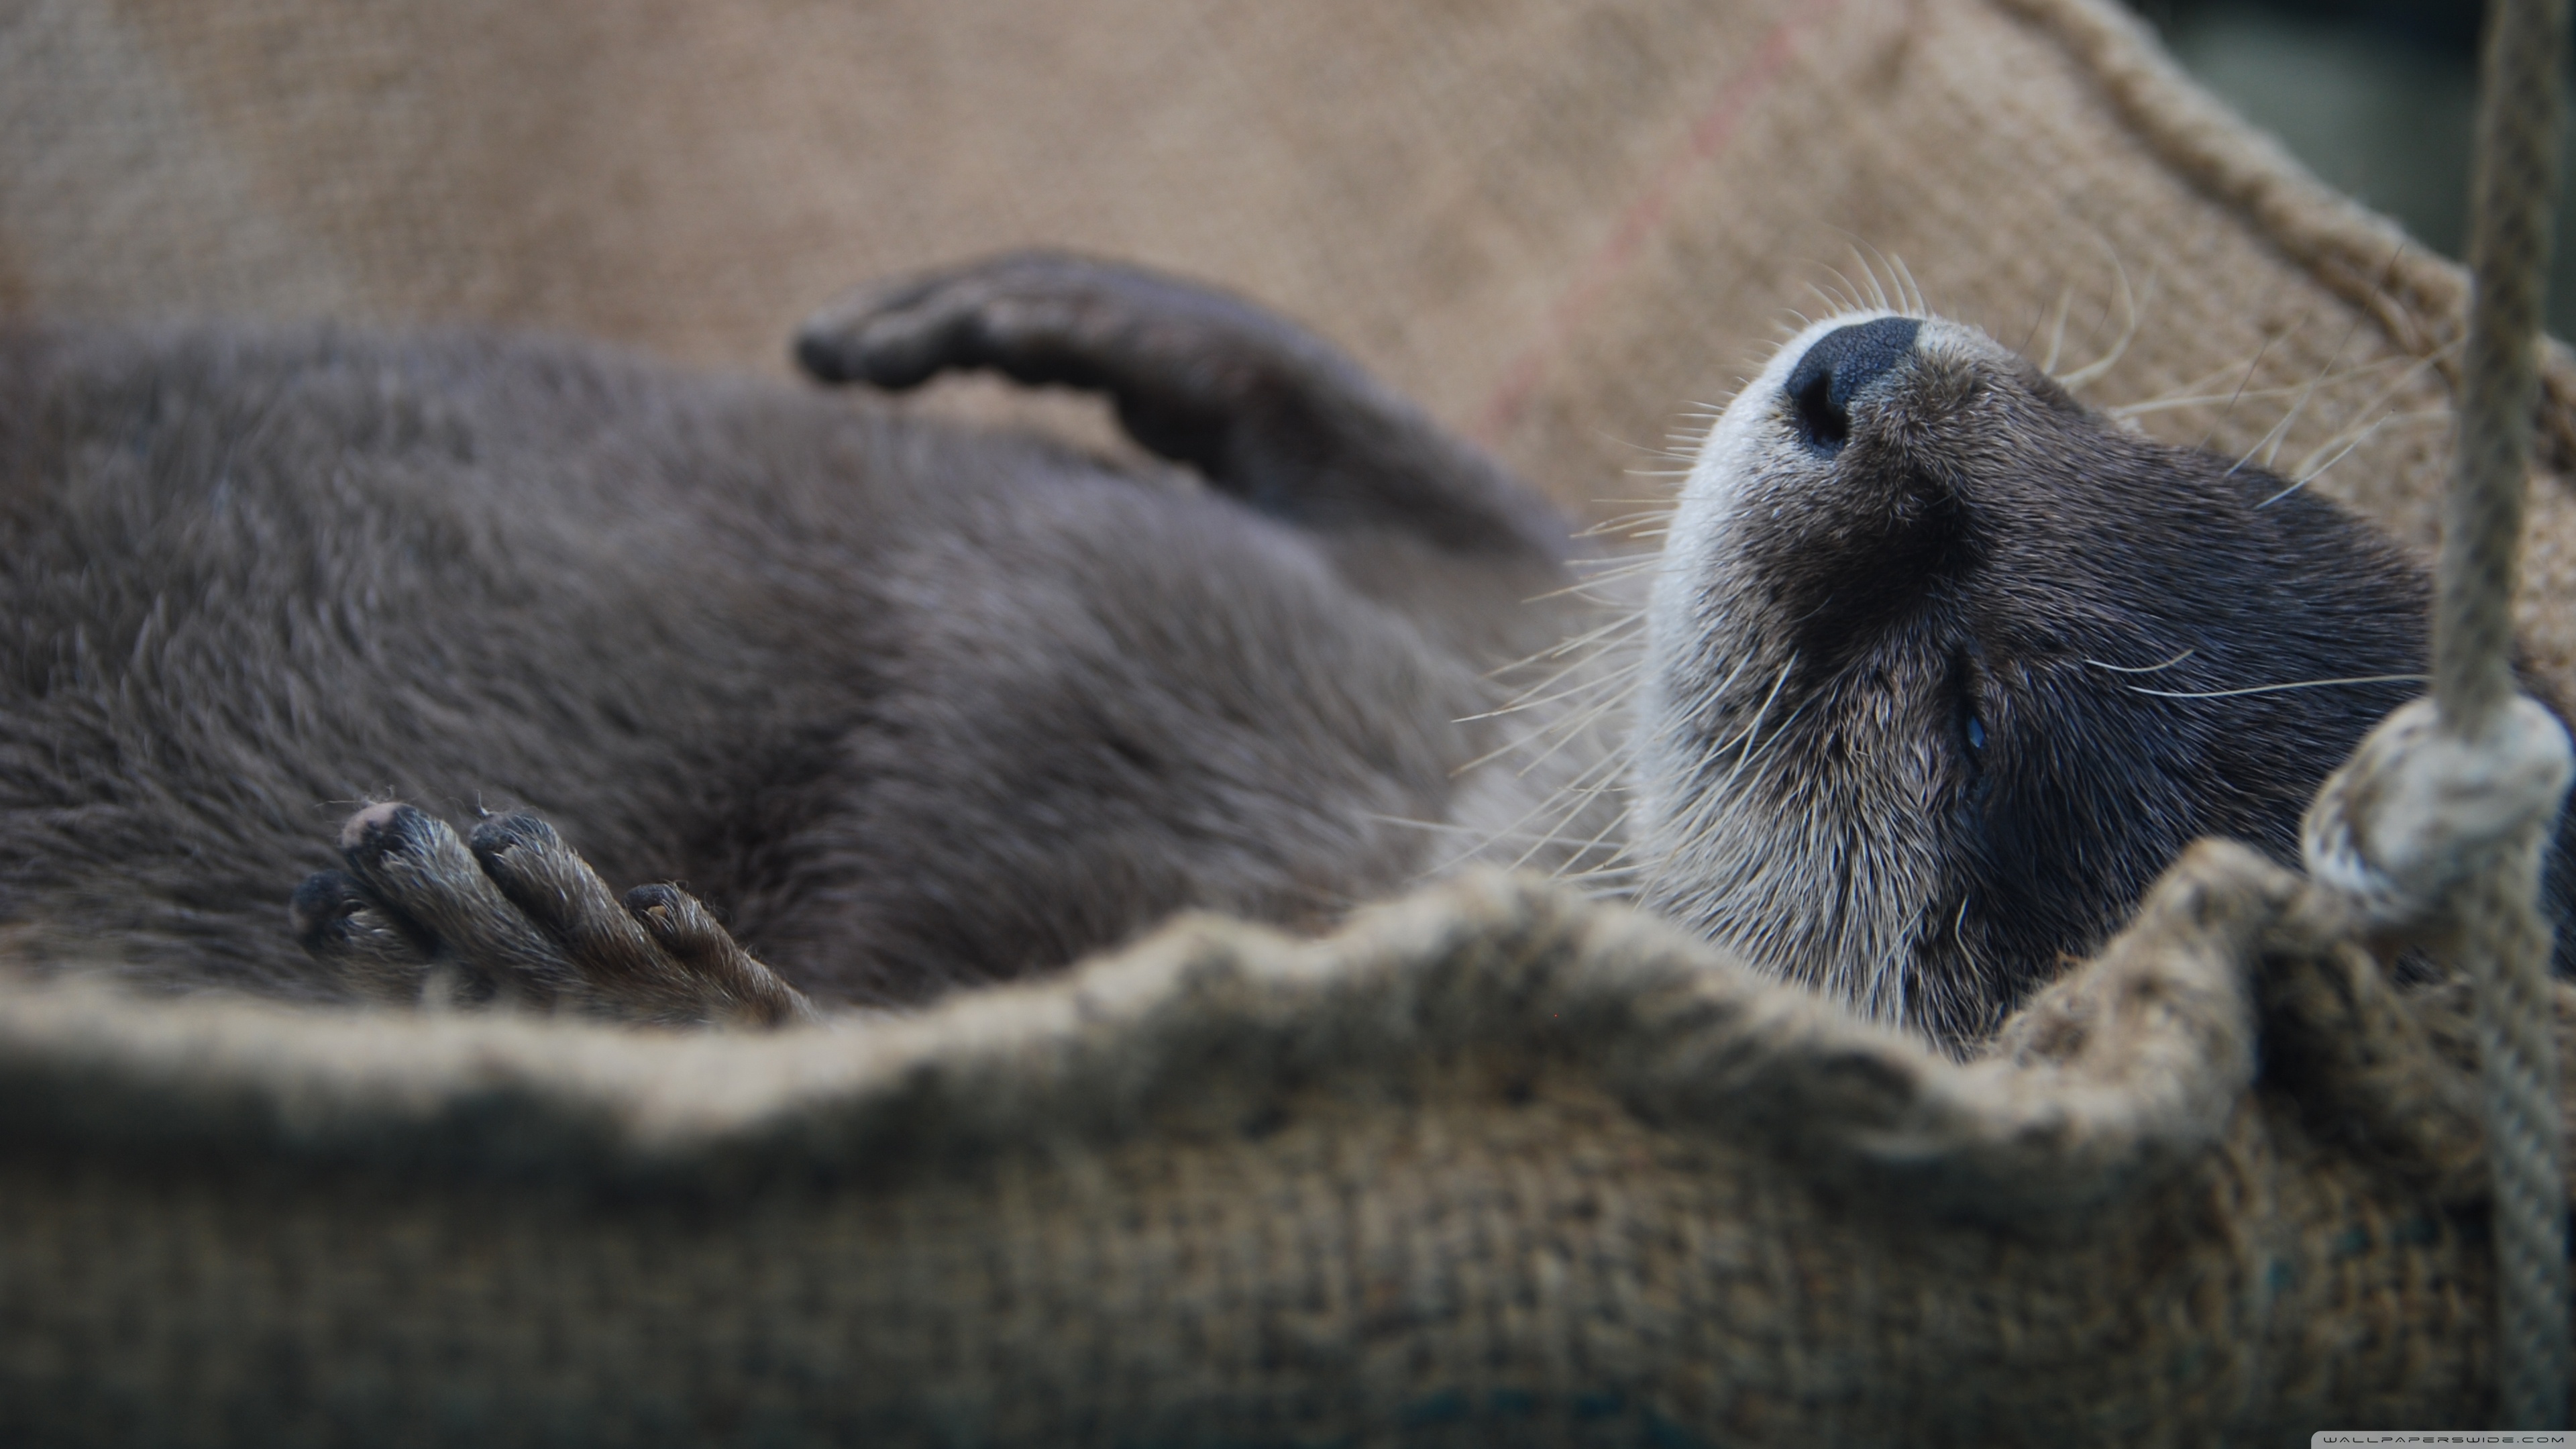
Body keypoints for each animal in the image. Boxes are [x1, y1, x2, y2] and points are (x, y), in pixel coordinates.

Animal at [0, 253, 2563, 1043]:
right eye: (2110, 429)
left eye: (1961, 707)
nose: (1859, 378)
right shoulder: (1441, 660)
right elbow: (1457, 519)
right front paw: (1098, 320)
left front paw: (591, 985)